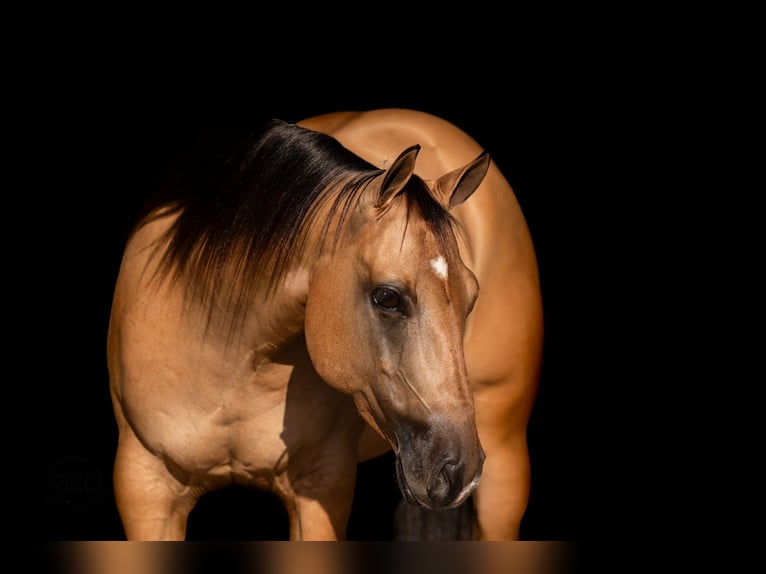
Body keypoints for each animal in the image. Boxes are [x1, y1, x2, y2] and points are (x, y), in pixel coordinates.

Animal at [107, 108, 542, 541]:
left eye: (471, 297)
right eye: (387, 297)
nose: (457, 470)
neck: (227, 358)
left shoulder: (320, 488)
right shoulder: (146, 488)